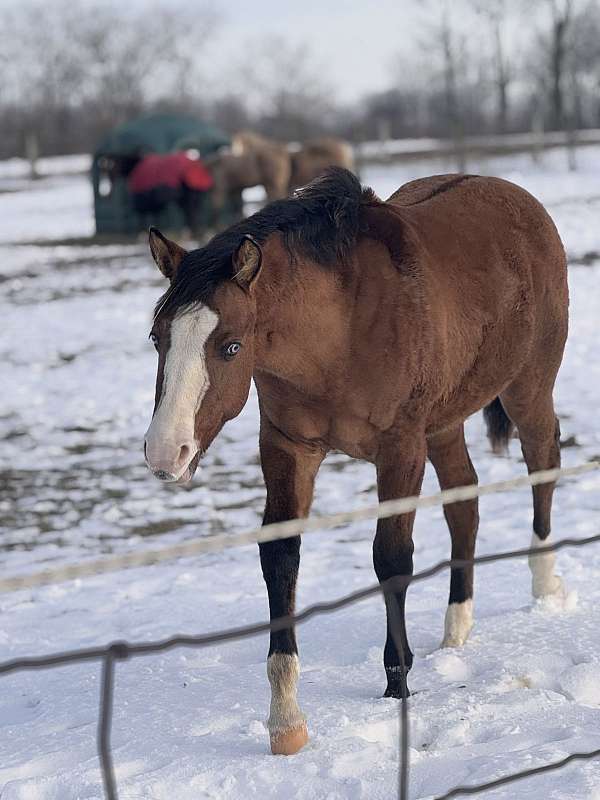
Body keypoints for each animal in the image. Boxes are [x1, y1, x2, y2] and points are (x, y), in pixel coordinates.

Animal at [144, 167, 568, 756]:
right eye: (157, 338)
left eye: (230, 346)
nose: (166, 452)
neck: (338, 333)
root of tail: (519, 198)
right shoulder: (288, 448)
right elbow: (280, 558)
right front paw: (286, 721)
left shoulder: (401, 448)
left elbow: (391, 560)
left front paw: (398, 683)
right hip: (445, 424)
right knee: (464, 505)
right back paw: (456, 627)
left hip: (528, 390)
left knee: (543, 464)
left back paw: (546, 586)